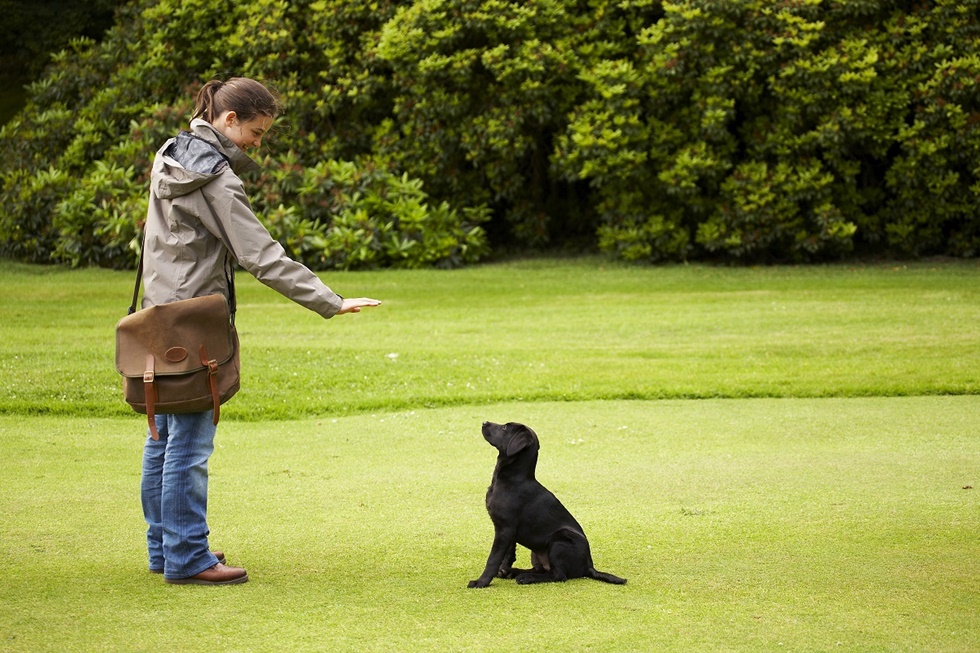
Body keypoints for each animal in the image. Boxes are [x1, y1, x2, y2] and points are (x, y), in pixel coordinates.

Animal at [468, 420, 628, 588]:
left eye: (505, 427)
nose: (484, 422)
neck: (511, 480)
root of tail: (589, 567)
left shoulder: (504, 529)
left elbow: (493, 558)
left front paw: (481, 582)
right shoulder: (508, 531)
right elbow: (508, 553)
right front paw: (503, 570)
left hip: (559, 540)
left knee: (559, 575)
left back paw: (527, 578)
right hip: (537, 550)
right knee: (542, 569)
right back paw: (516, 572)